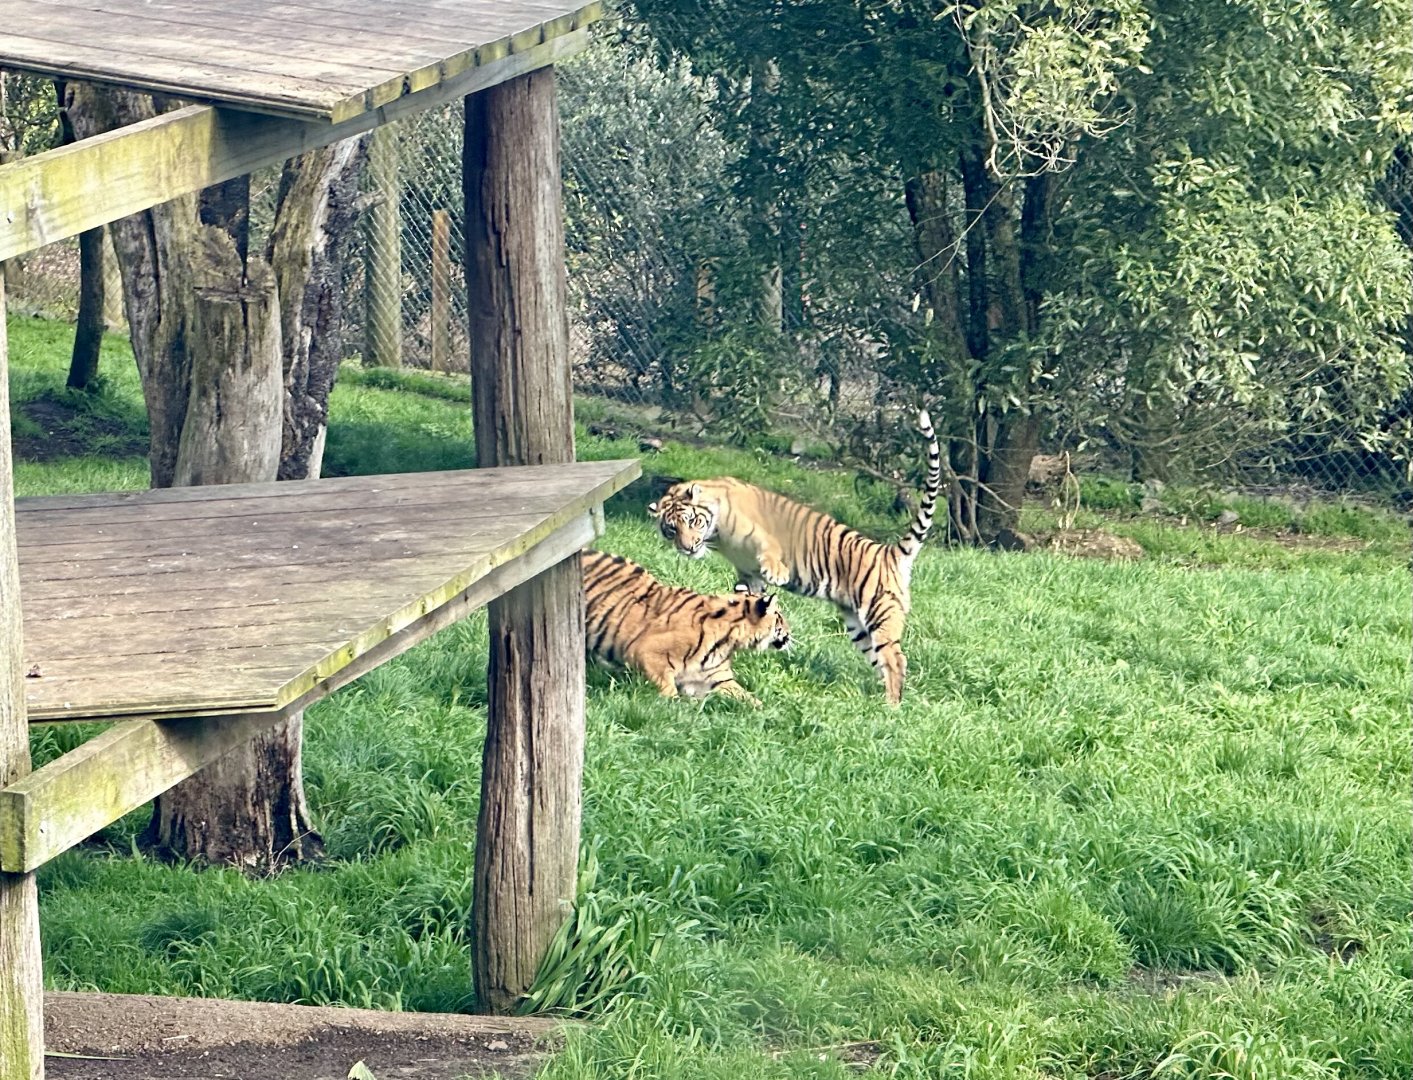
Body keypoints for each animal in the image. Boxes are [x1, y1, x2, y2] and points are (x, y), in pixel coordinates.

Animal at [581, 549, 792, 705]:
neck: (727, 643)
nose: (790, 633)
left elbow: (749, 698)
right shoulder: (646, 652)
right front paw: (676, 706)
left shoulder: (718, 679)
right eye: (780, 618)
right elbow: (667, 688)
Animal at [647, 409, 941, 705]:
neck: (717, 535)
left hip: (879, 611)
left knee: (896, 658)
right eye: (672, 529)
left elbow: (770, 550)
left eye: (692, 521)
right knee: (880, 658)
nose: (687, 547)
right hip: (858, 625)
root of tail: (890, 552)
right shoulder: (747, 572)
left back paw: (891, 706)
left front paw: (777, 574)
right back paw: (879, 698)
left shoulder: (760, 534)